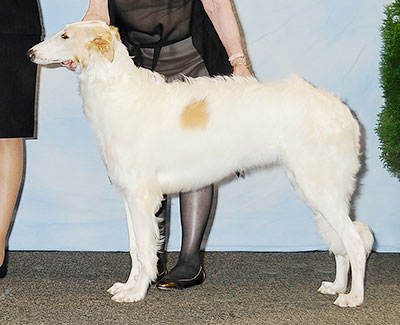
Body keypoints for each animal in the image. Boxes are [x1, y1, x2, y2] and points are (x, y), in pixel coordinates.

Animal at [28, 20, 376, 306]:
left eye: (65, 35)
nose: (31, 52)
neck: (118, 91)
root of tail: (341, 109)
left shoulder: (142, 195)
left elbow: (144, 249)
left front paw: (136, 293)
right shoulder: (129, 195)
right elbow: (135, 249)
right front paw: (127, 287)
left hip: (319, 186)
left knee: (354, 242)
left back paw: (353, 297)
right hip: (311, 187)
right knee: (342, 243)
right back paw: (337, 286)